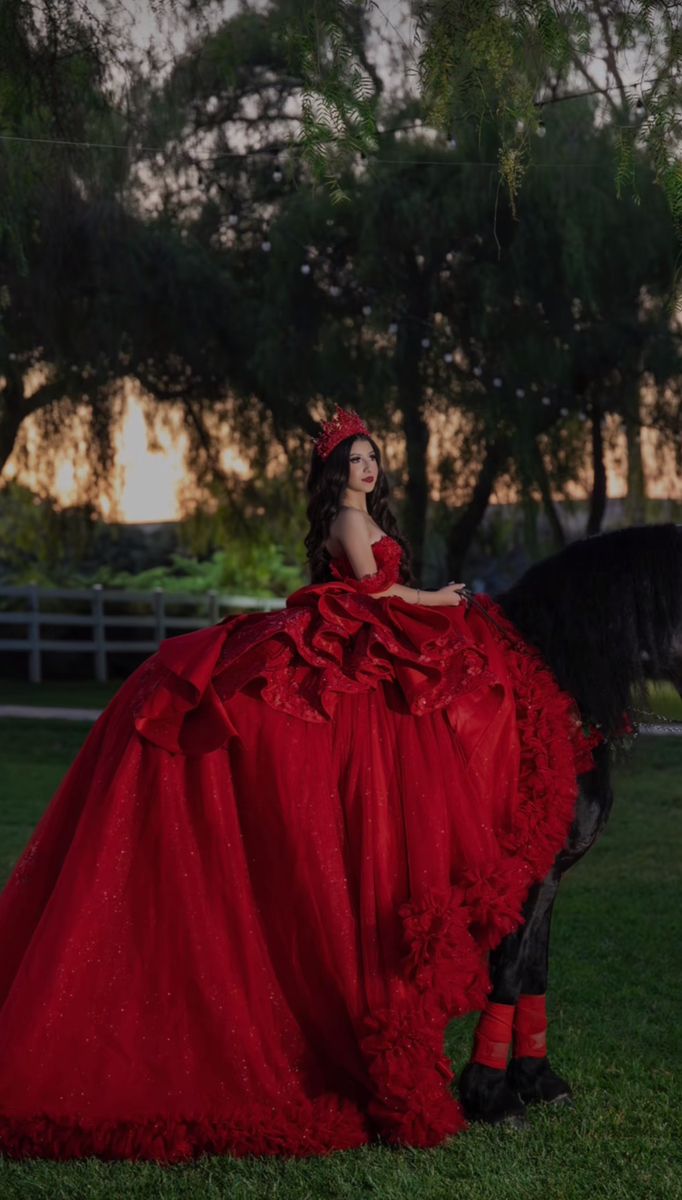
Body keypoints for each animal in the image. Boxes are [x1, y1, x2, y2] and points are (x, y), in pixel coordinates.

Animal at [458, 523, 682, 1123]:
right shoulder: (523, 878)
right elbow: (508, 972)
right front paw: (492, 1098)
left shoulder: (551, 875)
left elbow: (535, 968)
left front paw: (537, 1079)